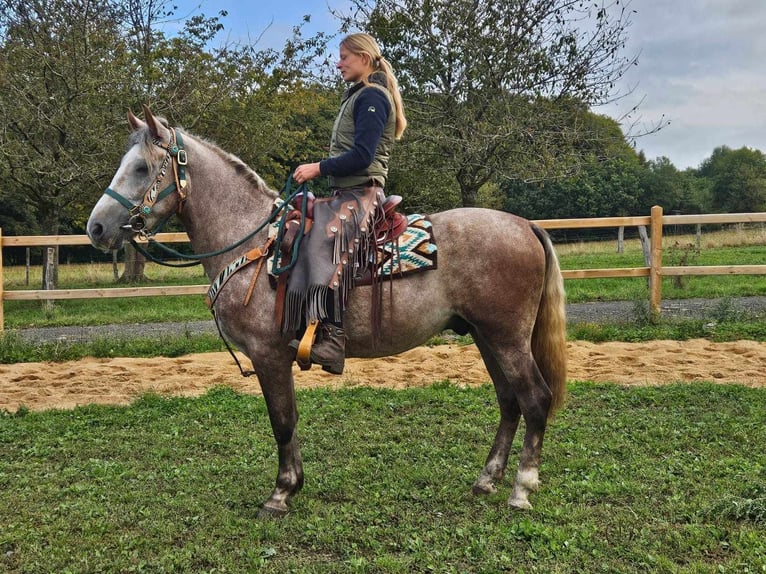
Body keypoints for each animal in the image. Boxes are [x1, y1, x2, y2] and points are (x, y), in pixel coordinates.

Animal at [88, 106, 568, 520]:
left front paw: (280, 493)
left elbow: (282, 420)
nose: (96, 227)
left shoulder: (268, 355)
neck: (254, 243)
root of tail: (525, 225)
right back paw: (486, 480)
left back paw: (521, 488)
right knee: (509, 401)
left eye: (142, 168)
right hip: (486, 336)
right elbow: (290, 420)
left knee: (535, 399)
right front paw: (293, 485)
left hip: (506, 338)